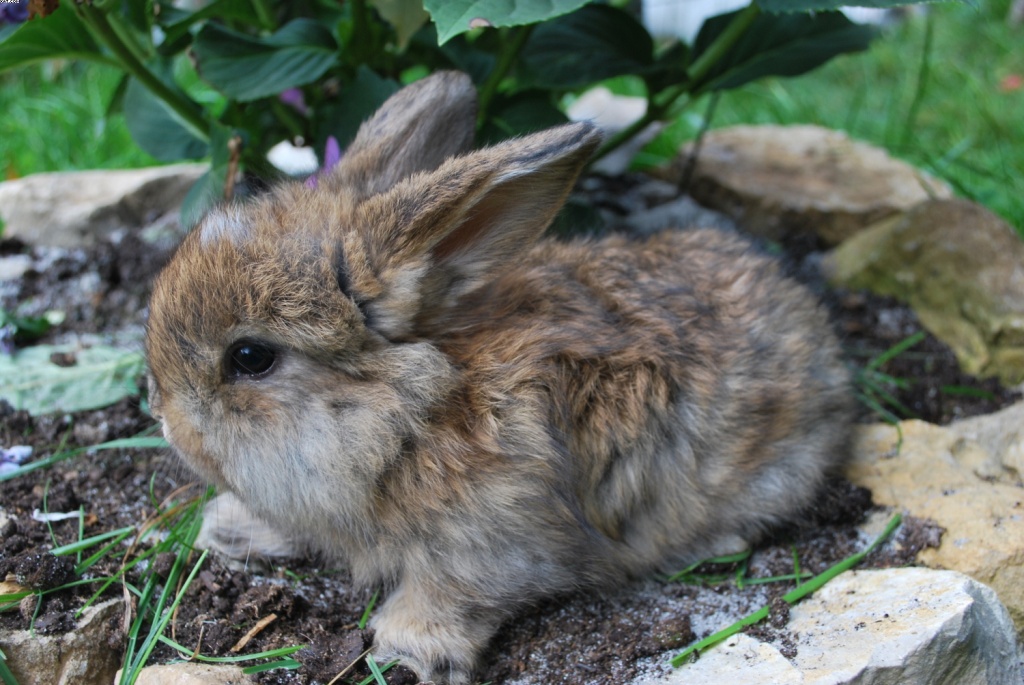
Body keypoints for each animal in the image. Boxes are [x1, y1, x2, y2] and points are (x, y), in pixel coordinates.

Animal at [145, 70, 855, 684]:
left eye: (250, 357)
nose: (169, 425)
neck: (407, 416)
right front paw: (228, 529)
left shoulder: (493, 547)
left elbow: (450, 596)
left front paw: (408, 653)